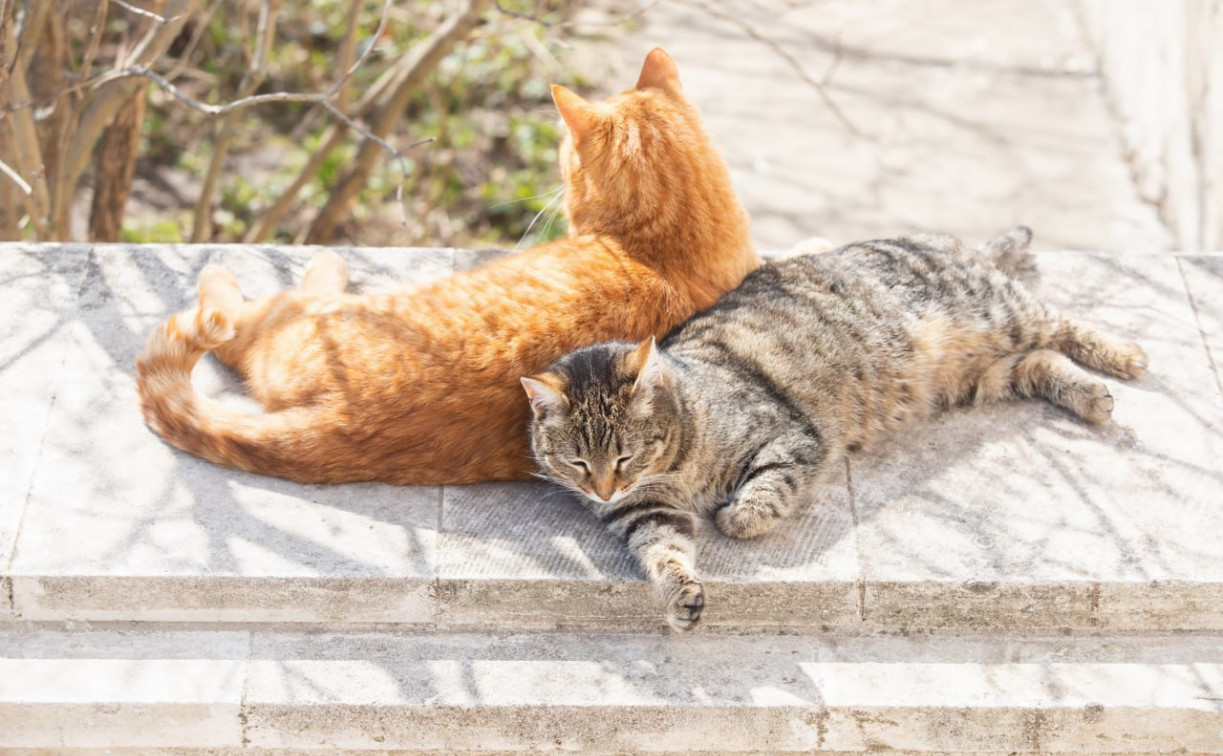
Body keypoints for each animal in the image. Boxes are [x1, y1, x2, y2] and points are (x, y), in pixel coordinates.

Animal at [523, 226, 1144, 626]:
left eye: (624, 457)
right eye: (579, 464)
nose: (605, 490)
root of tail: (951, 242)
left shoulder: (791, 437)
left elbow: (767, 491)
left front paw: (737, 516)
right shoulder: (644, 514)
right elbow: (664, 552)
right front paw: (682, 595)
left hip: (999, 311)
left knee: (1060, 324)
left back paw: (1123, 356)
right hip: (979, 375)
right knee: (1041, 361)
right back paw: (1092, 396)